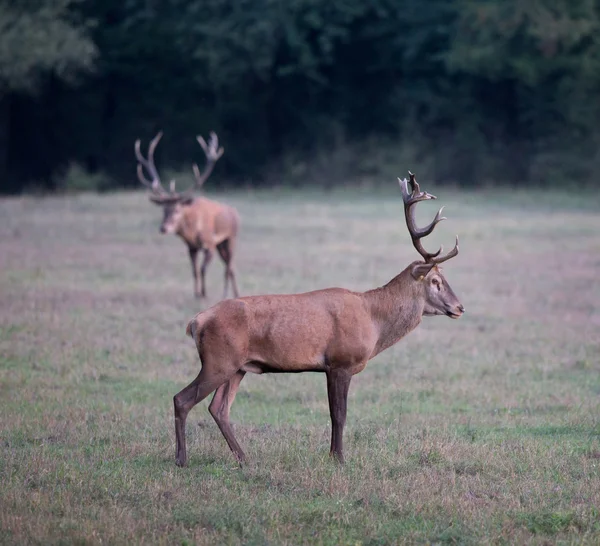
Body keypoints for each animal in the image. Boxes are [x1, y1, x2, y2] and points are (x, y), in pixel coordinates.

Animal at [135, 132, 240, 300]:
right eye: (163, 210)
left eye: (178, 210)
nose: (163, 228)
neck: (193, 231)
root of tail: (234, 212)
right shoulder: (191, 247)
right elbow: (194, 271)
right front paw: (197, 294)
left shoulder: (209, 243)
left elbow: (203, 269)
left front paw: (204, 294)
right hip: (220, 244)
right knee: (229, 266)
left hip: (231, 237)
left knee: (229, 267)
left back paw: (228, 294)